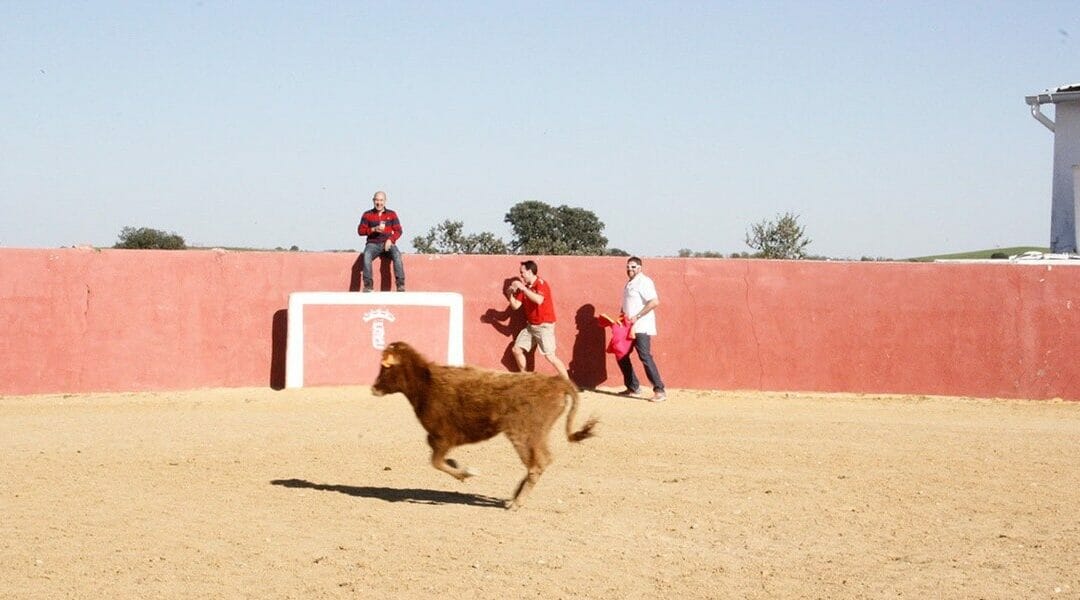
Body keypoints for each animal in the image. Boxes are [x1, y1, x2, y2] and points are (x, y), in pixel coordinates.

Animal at [373, 343, 600, 507]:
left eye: (385, 368)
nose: (373, 388)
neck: (426, 384)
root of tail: (555, 382)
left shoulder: (443, 437)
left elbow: (436, 462)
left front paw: (466, 473)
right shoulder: (437, 439)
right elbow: (438, 460)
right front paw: (459, 466)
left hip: (523, 434)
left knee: (537, 463)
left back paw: (516, 502)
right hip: (538, 434)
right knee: (542, 460)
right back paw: (513, 496)